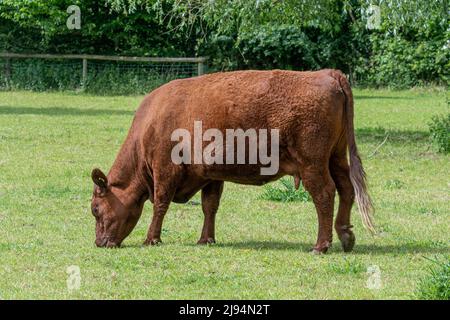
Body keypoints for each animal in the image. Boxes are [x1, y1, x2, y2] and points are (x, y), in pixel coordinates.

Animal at [89, 69, 374, 254]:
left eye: (95, 209)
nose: (99, 243)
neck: (151, 122)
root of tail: (325, 73)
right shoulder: (209, 176)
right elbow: (210, 206)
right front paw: (206, 239)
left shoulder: (165, 170)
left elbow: (160, 204)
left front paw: (151, 239)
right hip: (336, 158)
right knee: (347, 189)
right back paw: (346, 236)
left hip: (312, 164)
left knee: (325, 194)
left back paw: (320, 245)